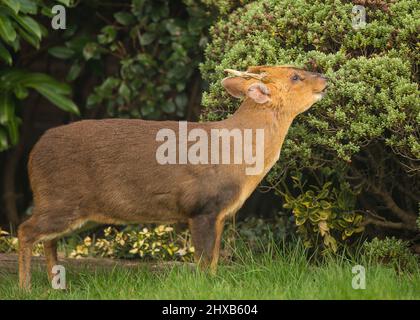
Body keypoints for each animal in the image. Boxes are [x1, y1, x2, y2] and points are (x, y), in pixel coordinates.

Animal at [18, 65, 328, 290]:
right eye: (296, 76)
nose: (325, 77)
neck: (236, 151)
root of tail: (33, 153)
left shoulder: (219, 215)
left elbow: (214, 260)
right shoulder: (202, 207)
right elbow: (204, 260)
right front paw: (205, 288)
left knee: (48, 240)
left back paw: (58, 287)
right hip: (59, 198)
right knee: (25, 230)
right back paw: (26, 288)